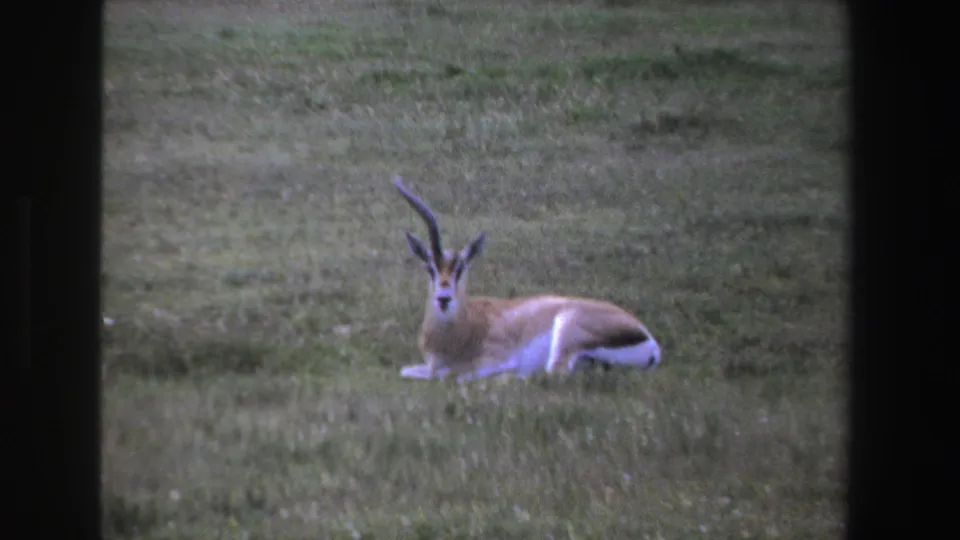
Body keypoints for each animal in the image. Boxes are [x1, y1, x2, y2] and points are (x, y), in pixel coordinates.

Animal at [393, 176, 662, 382]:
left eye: (461, 268)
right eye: (430, 268)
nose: (443, 298)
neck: (465, 327)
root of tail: (647, 338)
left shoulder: (492, 359)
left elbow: (451, 375)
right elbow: (407, 370)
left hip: (565, 331)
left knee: (551, 373)